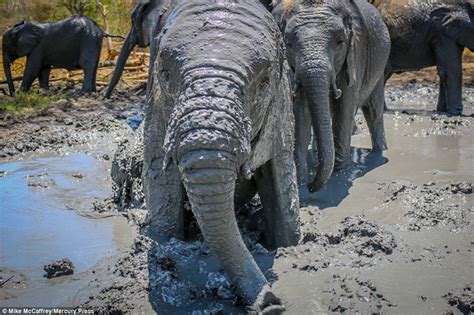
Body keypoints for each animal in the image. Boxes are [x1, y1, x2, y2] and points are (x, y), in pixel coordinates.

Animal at [143, 0, 302, 312]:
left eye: (264, 82)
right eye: (165, 74)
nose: (271, 303)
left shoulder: (281, 115)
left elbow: (284, 200)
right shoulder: (155, 116)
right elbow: (163, 201)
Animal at [272, 0, 390, 193]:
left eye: (340, 42)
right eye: (288, 44)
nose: (312, 187)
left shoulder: (356, 52)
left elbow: (344, 107)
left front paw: (338, 178)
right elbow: (301, 111)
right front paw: (302, 184)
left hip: (379, 67)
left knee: (374, 112)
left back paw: (378, 154)